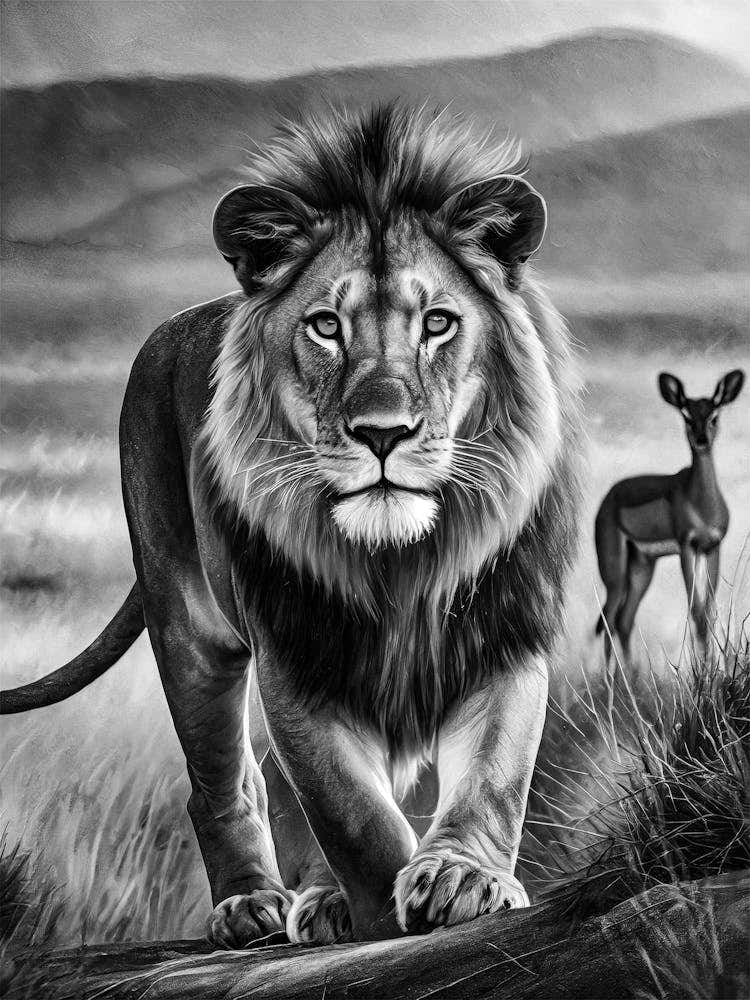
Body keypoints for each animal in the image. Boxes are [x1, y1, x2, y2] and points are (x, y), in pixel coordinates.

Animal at [1, 105, 580, 947]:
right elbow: (352, 813)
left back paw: (323, 900)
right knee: (226, 779)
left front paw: (463, 880)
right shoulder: (296, 657)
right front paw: (381, 910)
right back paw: (256, 905)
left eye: (439, 323)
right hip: (189, 629)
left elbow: (495, 775)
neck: (396, 561)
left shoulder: (504, 629)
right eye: (326, 327)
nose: (382, 433)